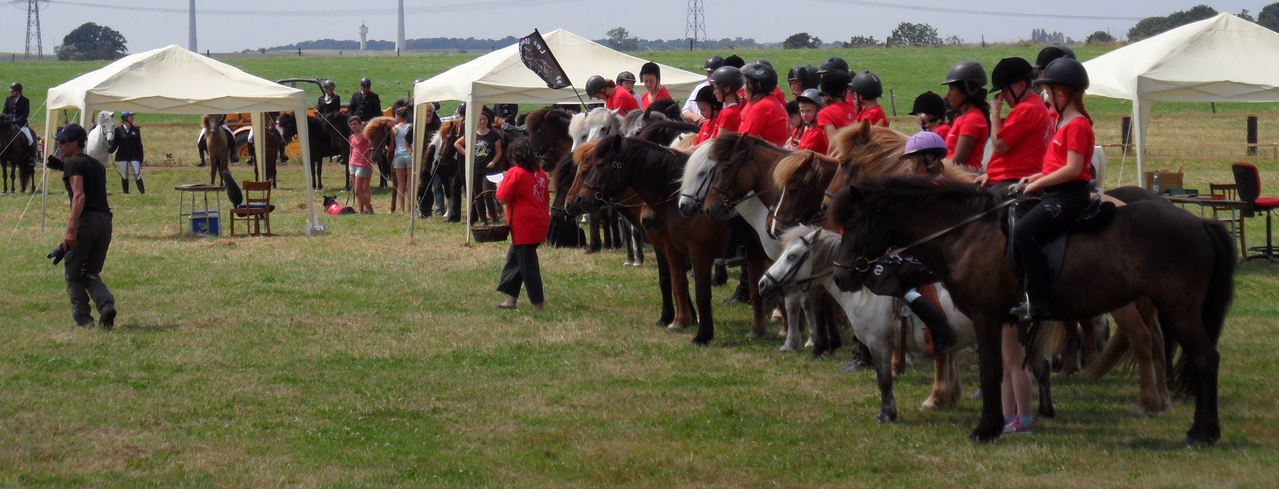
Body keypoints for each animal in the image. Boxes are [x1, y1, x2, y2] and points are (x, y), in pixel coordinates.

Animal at [580, 134, 767, 343]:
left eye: (599, 165)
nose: (580, 199)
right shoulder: (673, 249)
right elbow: (676, 283)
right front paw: (680, 321)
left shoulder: (697, 252)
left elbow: (700, 292)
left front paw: (702, 334)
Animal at [757, 226, 977, 419]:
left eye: (792, 256)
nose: (763, 284)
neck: (864, 291)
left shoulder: (878, 342)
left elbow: (884, 379)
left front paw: (886, 414)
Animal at [833, 177, 1232, 445]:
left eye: (852, 224)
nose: (841, 276)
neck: (965, 234)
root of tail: (1198, 222)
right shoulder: (1007, 320)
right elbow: (1010, 371)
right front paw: (1001, 422)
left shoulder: (986, 317)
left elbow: (990, 372)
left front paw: (985, 429)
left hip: (1180, 310)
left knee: (1204, 358)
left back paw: (1202, 432)